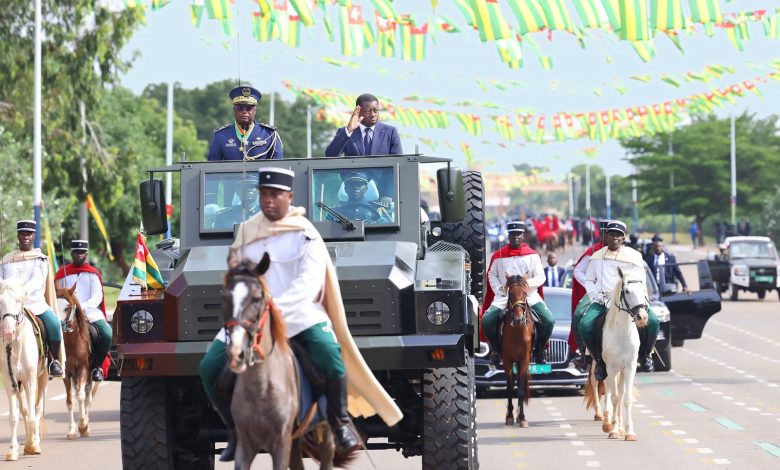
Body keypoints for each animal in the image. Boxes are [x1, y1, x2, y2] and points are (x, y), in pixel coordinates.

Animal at [0, 278, 48, 460]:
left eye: (18, 300)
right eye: (0, 302)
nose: (8, 332)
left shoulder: (30, 380)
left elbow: (34, 415)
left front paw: (33, 445)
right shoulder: (10, 382)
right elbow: (15, 417)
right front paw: (13, 450)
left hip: (43, 378)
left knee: (38, 409)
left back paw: (35, 441)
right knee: (25, 411)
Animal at [55, 286, 100, 440]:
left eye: (67, 307)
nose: (59, 327)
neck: (71, 343)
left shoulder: (83, 369)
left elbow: (81, 397)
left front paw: (83, 425)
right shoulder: (66, 373)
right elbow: (70, 401)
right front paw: (71, 431)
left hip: (91, 375)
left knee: (88, 397)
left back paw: (86, 426)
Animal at [221, 252, 352, 470]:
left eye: (257, 298)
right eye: (225, 298)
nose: (236, 353)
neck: (262, 387)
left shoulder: (280, 443)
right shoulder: (245, 446)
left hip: (324, 431)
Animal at [580, 268, 648, 440]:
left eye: (643, 290)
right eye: (627, 291)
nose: (642, 317)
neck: (622, 332)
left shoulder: (629, 367)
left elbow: (626, 398)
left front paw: (629, 431)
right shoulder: (610, 367)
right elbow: (615, 397)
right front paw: (614, 430)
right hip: (600, 365)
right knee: (597, 383)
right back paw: (604, 419)